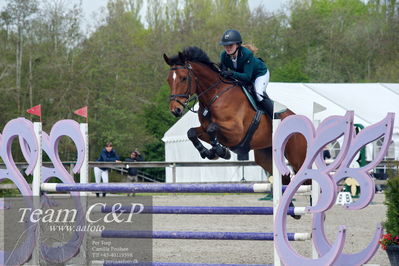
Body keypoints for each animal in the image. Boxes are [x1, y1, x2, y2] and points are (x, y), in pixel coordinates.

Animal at [164, 46, 308, 186]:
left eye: (184, 78)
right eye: (168, 80)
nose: (175, 110)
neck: (215, 95)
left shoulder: (236, 132)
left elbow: (212, 128)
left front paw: (220, 151)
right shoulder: (205, 129)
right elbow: (192, 132)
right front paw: (209, 152)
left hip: (298, 158)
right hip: (266, 155)